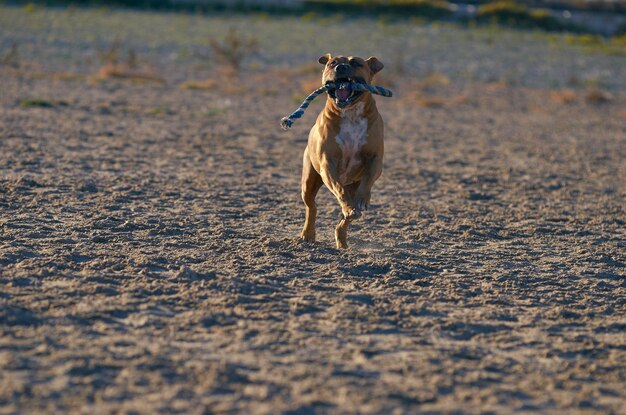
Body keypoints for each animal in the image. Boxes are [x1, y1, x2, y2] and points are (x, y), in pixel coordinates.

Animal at [298, 53, 382, 249]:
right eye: (332, 63)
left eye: (356, 63)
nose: (340, 67)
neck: (350, 114)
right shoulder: (328, 163)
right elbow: (339, 190)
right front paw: (349, 205)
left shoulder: (375, 158)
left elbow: (367, 182)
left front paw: (362, 200)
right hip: (309, 181)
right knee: (312, 207)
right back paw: (308, 233)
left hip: (352, 184)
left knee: (345, 218)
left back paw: (342, 238)